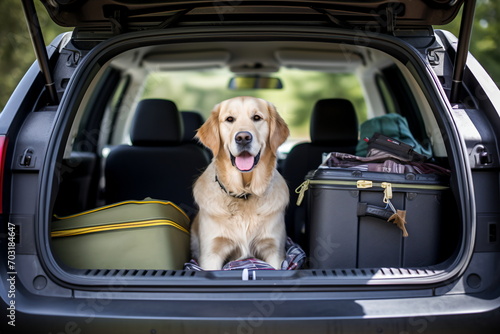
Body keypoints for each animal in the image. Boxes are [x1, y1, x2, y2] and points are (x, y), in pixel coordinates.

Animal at [190, 95, 290, 270]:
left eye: (256, 117)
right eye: (230, 119)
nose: (243, 137)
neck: (244, 193)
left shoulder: (274, 251)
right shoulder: (211, 253)